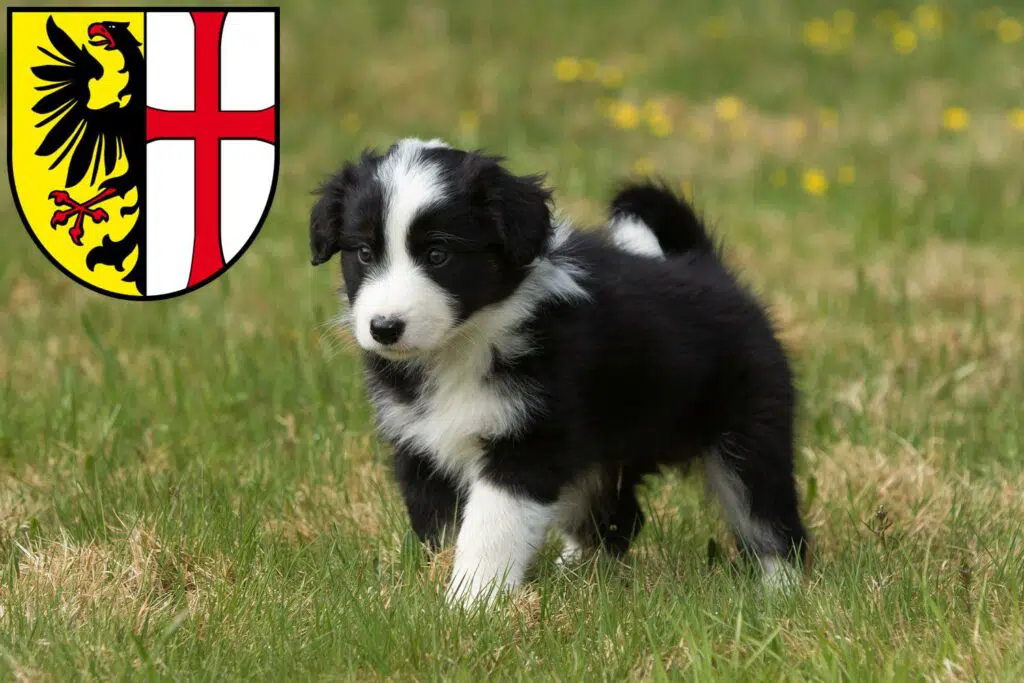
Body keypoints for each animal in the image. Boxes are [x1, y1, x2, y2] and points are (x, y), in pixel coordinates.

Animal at [309, 136, 806, 606]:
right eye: (364, 253)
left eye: (437, 255)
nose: (384, 328)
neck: (465, 344)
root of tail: (709, 269)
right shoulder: (422, 446)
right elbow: (441, 526)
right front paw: (438, 586)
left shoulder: (529, 441)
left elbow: (489, 528)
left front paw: (471, 603)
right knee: (618, 518)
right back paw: (580, 574)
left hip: (748, 432)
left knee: (769, 516)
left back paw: (781, 591)